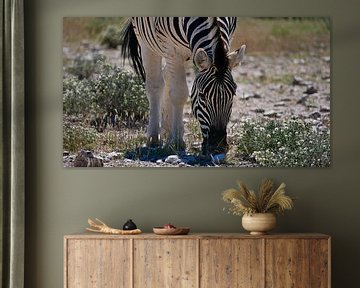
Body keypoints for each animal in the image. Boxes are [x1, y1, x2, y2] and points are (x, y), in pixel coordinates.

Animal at [121, 16, 245, 154]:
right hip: (146, 41)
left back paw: (167, 130)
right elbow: (179, 94)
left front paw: (173, 138)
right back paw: (154, 138)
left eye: (233, 94)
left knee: (167, 76)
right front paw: (177, 142)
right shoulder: (172, 51)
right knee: (155, 85)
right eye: (202, 96)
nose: (218, 146)